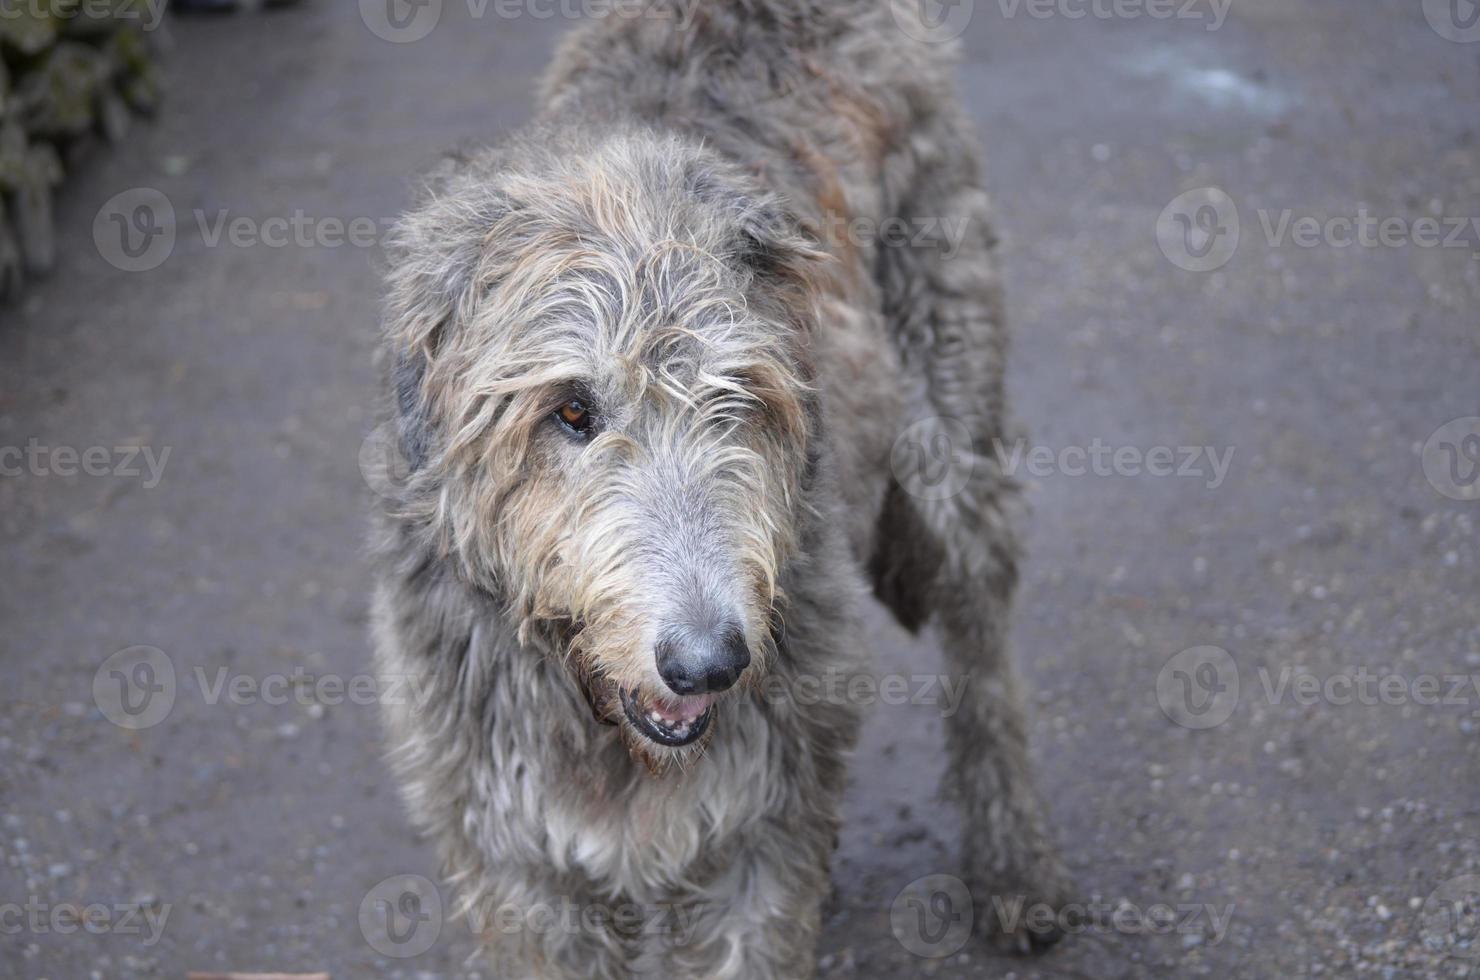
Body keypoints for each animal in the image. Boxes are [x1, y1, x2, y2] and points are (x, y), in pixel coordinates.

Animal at [367, 3, 1065, 977]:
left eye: (737, 401)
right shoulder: (517, 859)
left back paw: (1015, 867)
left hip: (950, 403)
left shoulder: (761, 826)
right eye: (571, 410)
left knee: (983, 650)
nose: (708, 663)